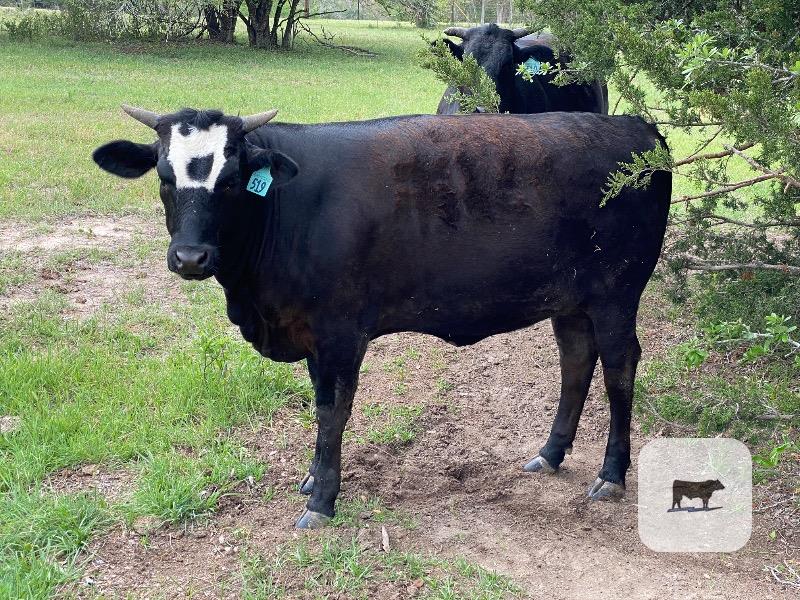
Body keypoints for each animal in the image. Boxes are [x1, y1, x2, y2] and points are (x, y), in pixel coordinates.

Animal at [92, 105, 671, 528]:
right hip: (570, 300)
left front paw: (321, 500)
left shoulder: (340, 332)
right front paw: (312, 479)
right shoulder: (312, 332)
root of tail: (635, 126)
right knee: (576, 361)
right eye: (164, 176)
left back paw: (612, 474)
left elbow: (332, 412)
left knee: (619, 369)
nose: (190, 257)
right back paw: (550, 454)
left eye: (231, 180)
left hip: (616, 294)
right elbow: (321, 407)